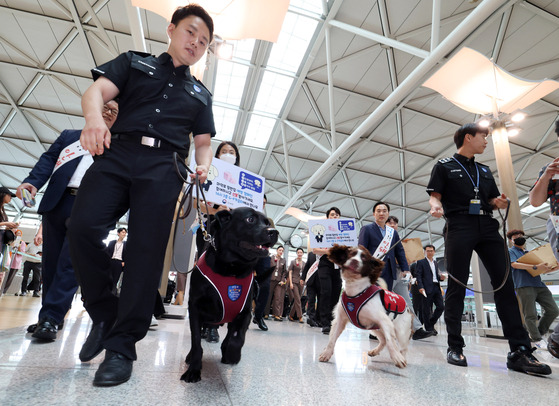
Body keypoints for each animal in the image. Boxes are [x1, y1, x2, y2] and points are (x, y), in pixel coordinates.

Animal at [183, 208, 278, 382]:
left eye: (267, 222)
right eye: (250, 219)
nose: (274, 232)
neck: (231, 270)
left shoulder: (245, 312)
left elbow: (237, 337)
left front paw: (232, 354)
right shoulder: (194, 309)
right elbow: (196, 342)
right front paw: (193, 369)